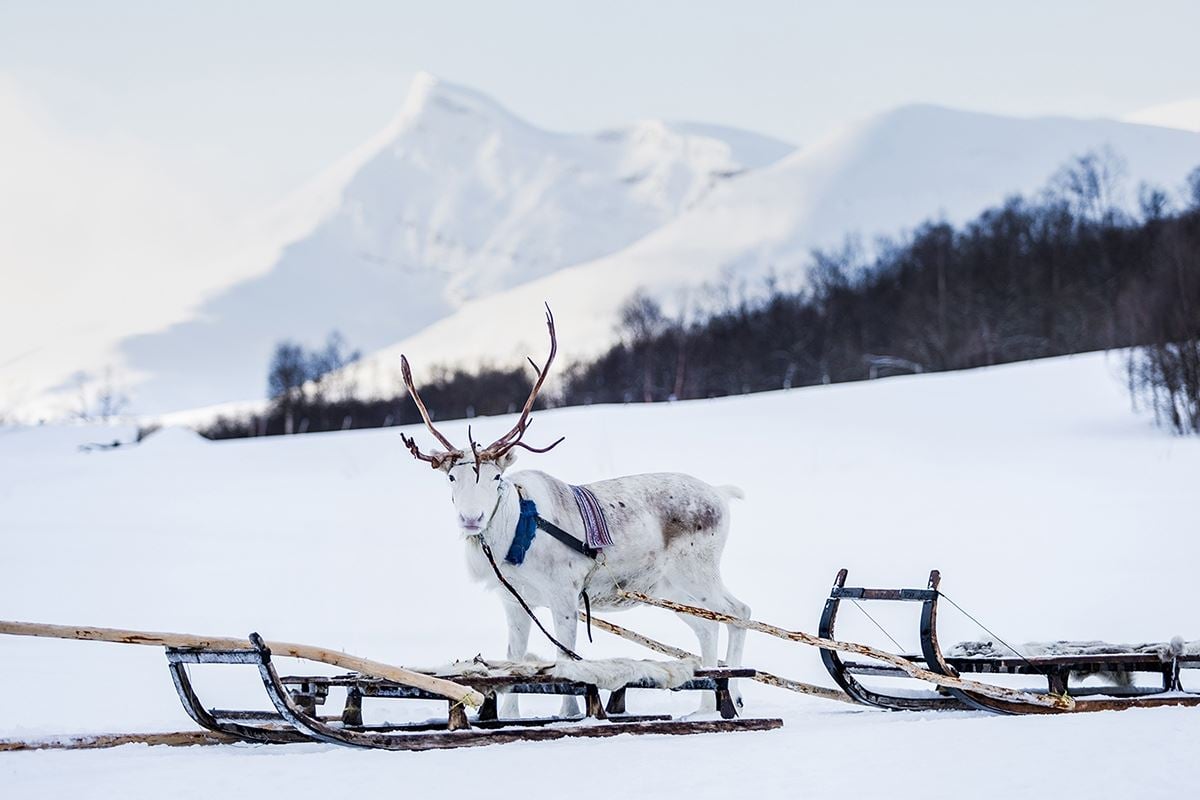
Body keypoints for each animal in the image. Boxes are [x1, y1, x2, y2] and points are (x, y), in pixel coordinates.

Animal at [399, 306, 751, 719]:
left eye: (496, 477)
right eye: (452, 477)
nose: (471, 519)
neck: (513, 538)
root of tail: (722, 495)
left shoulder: (564, 595)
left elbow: (566, 661)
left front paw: (569, 713)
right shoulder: (515, 602)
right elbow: (514, 660)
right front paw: (508, 716)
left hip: (697, 573)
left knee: (739, 612)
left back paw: (734, 696)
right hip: (669, 588)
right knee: (708, 627)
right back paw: (706, 705)